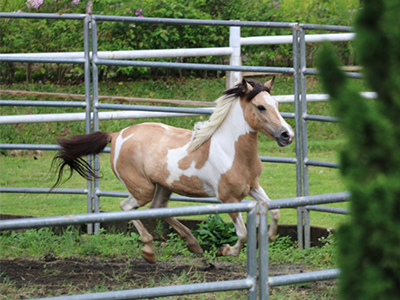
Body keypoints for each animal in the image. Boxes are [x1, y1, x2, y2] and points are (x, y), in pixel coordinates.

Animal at [50, 78, 294, 262]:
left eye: (276, 104)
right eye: (261, 107)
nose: (287, 135)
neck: (230, 150)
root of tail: (116, 135)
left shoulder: (253, 186)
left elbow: (275, 211)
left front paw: (267, 238)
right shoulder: (228, 199)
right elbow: (242, 233)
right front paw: (225, 250)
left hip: (163, 186)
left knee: (157, 209)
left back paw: (193, 244)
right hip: (143, 189)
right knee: (127, 207)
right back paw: (149, 250)